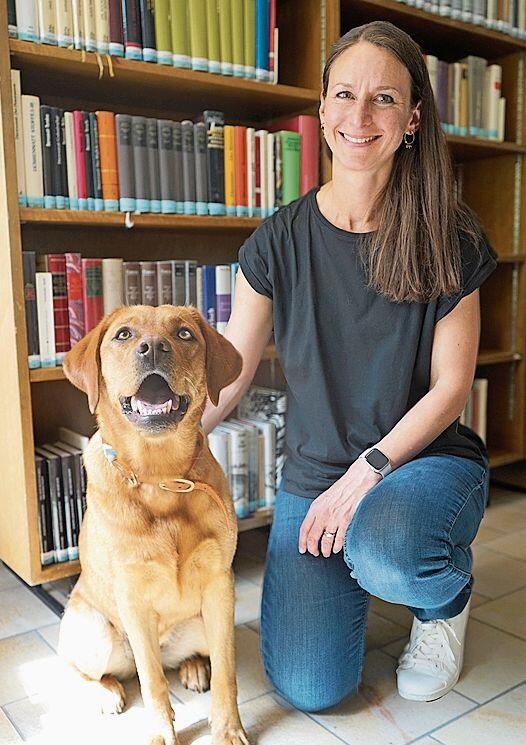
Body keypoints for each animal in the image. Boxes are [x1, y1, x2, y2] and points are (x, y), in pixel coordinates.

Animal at [59, 304, 252, 744]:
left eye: (184, 334)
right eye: (124, 334)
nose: (153, 347)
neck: (159, 474)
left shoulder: (220, 585)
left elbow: (227, 671)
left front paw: (228, 728)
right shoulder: (132, 597)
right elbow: (151, 683)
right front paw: (162, 732)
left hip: (199, 621)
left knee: (182, 660)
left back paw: (194, 667)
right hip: (96, 630)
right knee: (86, 670)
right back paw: (105, 691)